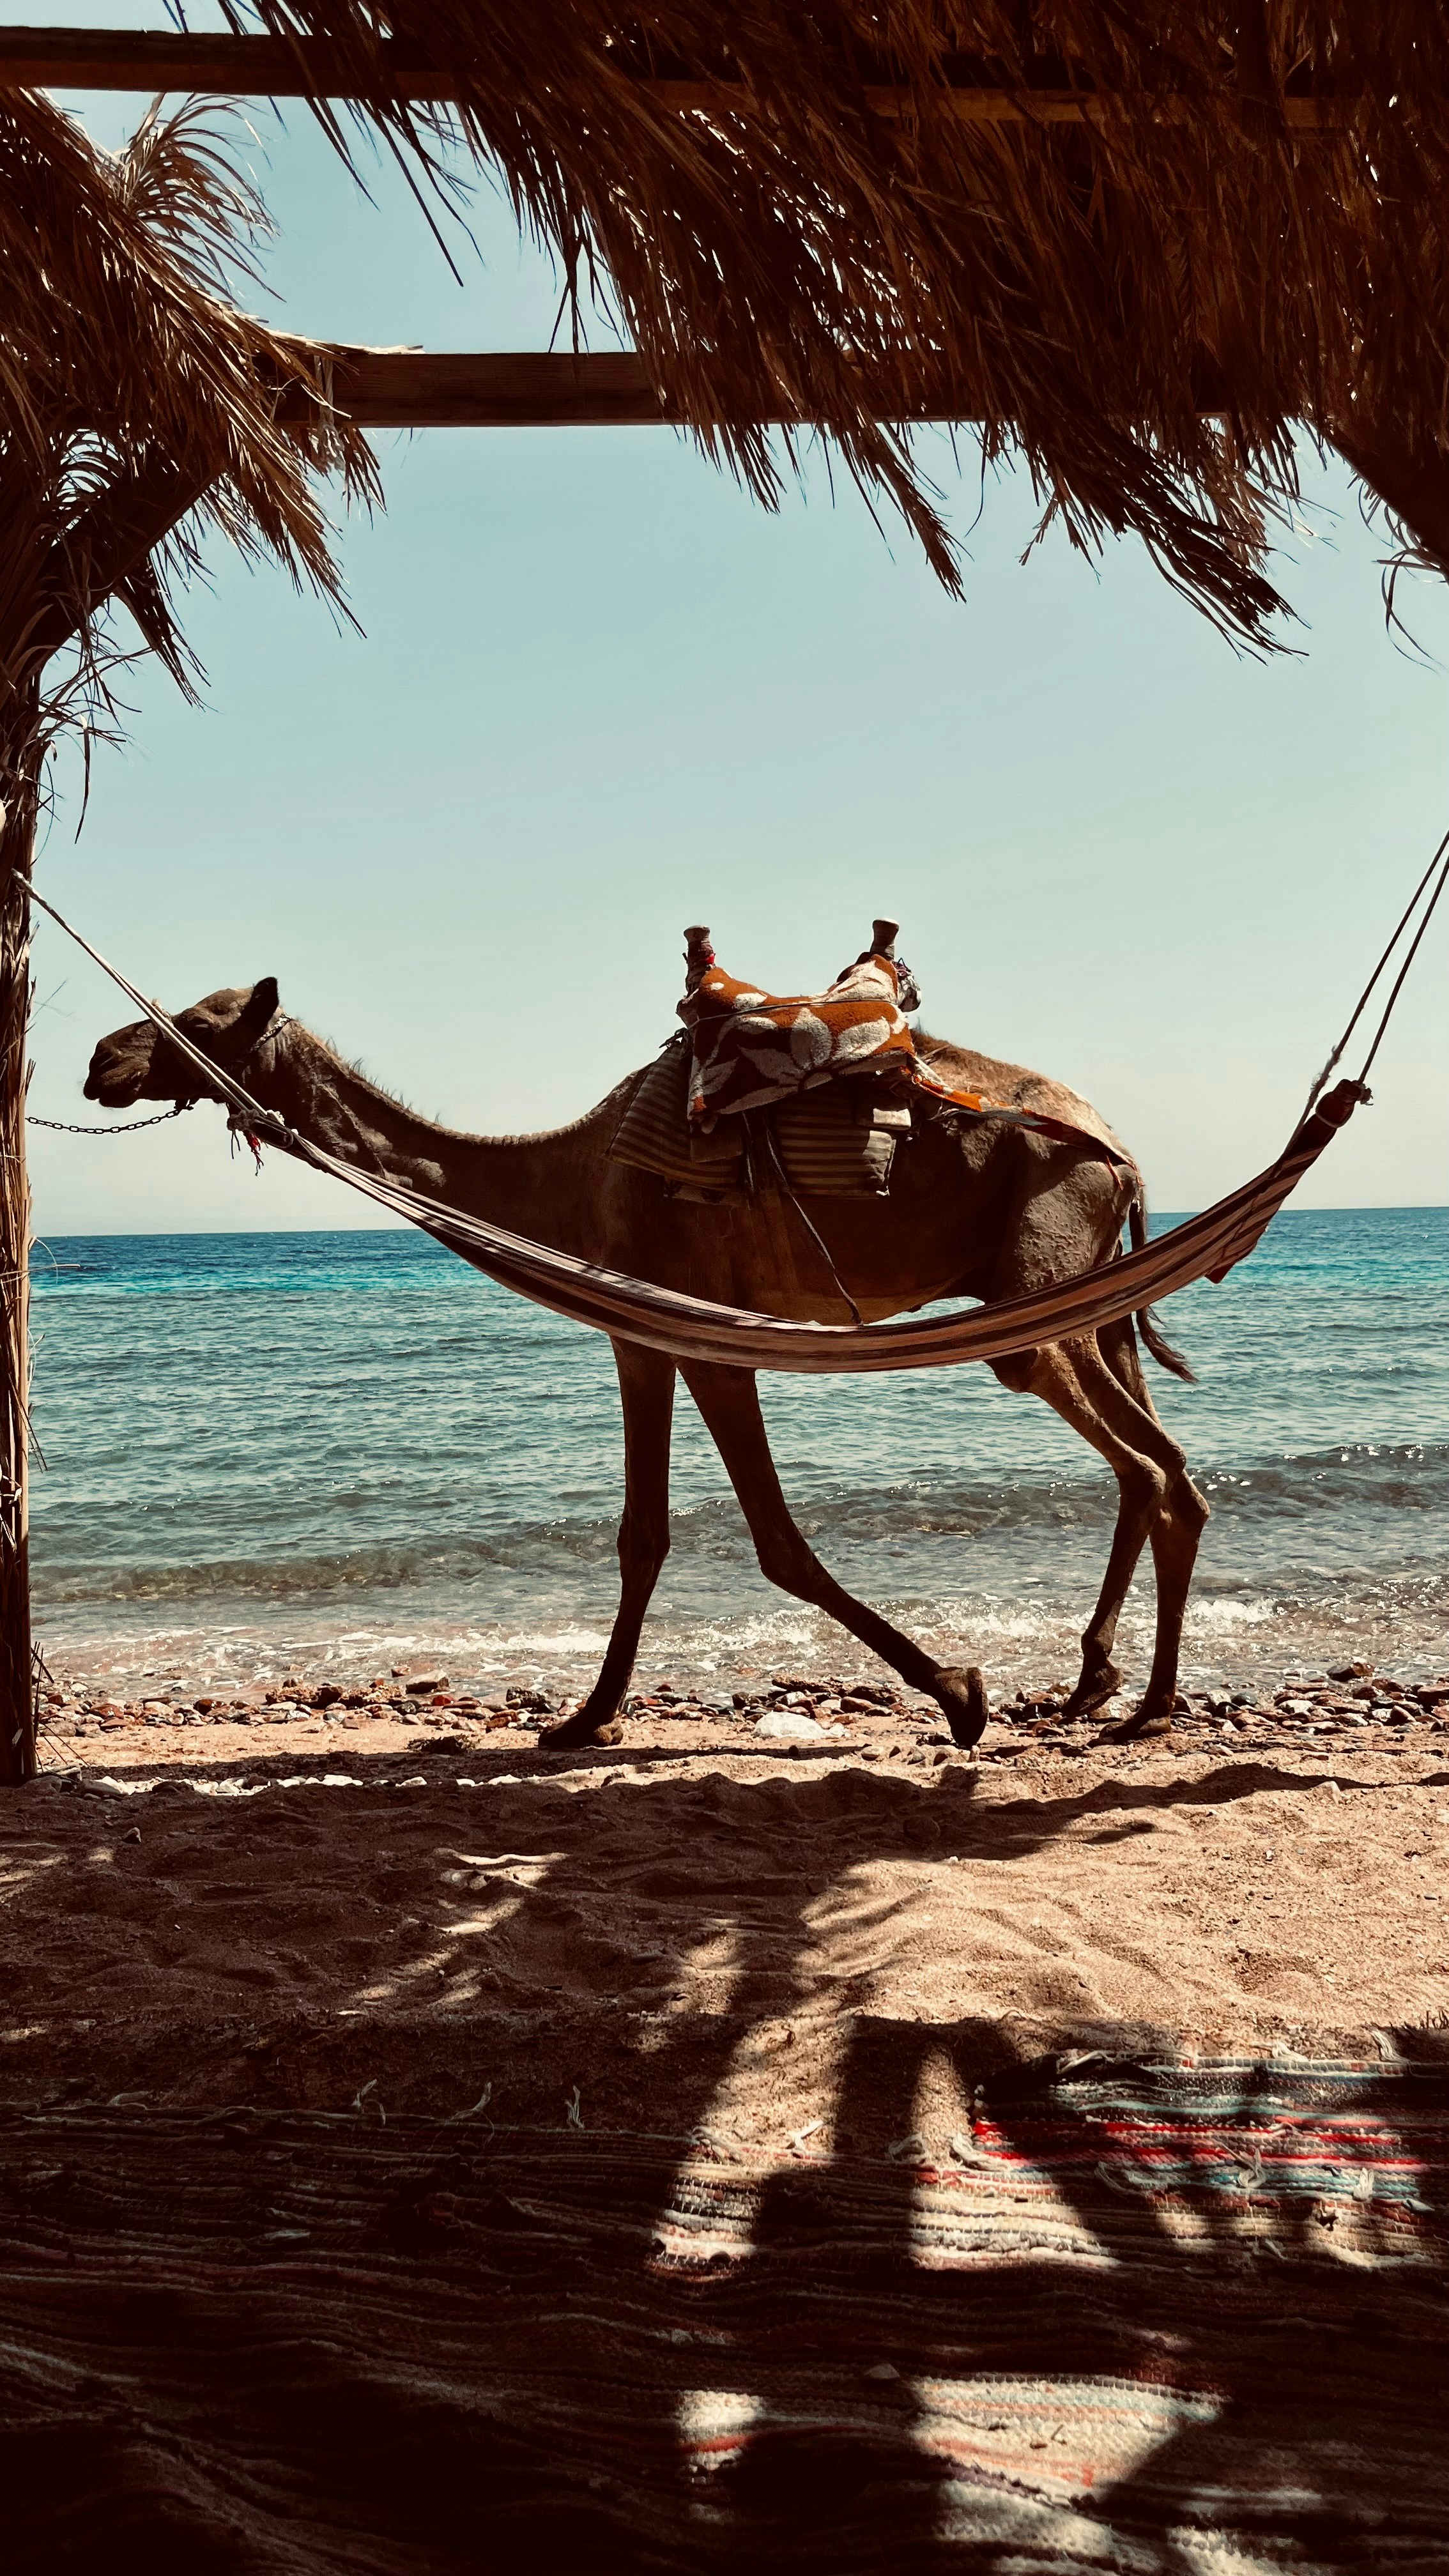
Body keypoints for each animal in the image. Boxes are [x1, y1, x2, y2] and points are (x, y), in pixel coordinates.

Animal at [84, 974, 1209, 1750]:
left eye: (199, 1018)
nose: (102, 1057)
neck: (568, 1180)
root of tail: (1121, 1156)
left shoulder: (708, 1335)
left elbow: (775, 1543)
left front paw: (962, 1696)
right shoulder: (641, 1335)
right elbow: (642, 1536)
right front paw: (588, 1719)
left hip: (1043, 1281)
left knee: (1157, 1469)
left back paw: (1144, 1703)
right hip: (1093, 1291)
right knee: (1154, 1470)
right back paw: (1106, 1687)